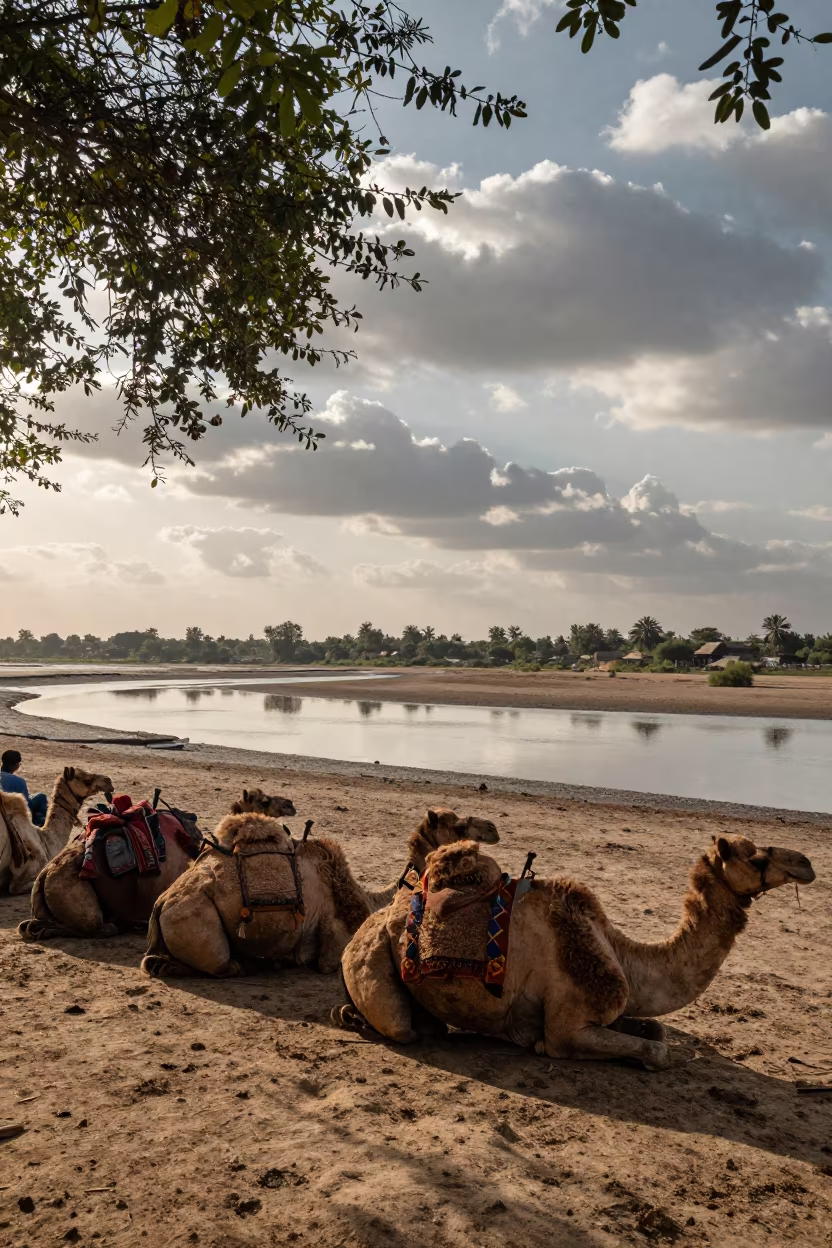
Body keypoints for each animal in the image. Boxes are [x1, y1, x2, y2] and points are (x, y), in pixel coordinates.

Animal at [141, 811, 372, 978]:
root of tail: (160, 904)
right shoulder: (334, 933)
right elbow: (325, 963)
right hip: (191, 916)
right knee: (220, 963)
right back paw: (247, 965)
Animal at [336, 833, 815, 1070]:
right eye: (755, 858)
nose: (807, 863)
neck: (623, 956)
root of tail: (377, 919)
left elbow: (656, 1032)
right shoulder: (569, 1025)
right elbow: (657, 1053)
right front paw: (537, 1045)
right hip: (373, 960)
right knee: (400, 1027)